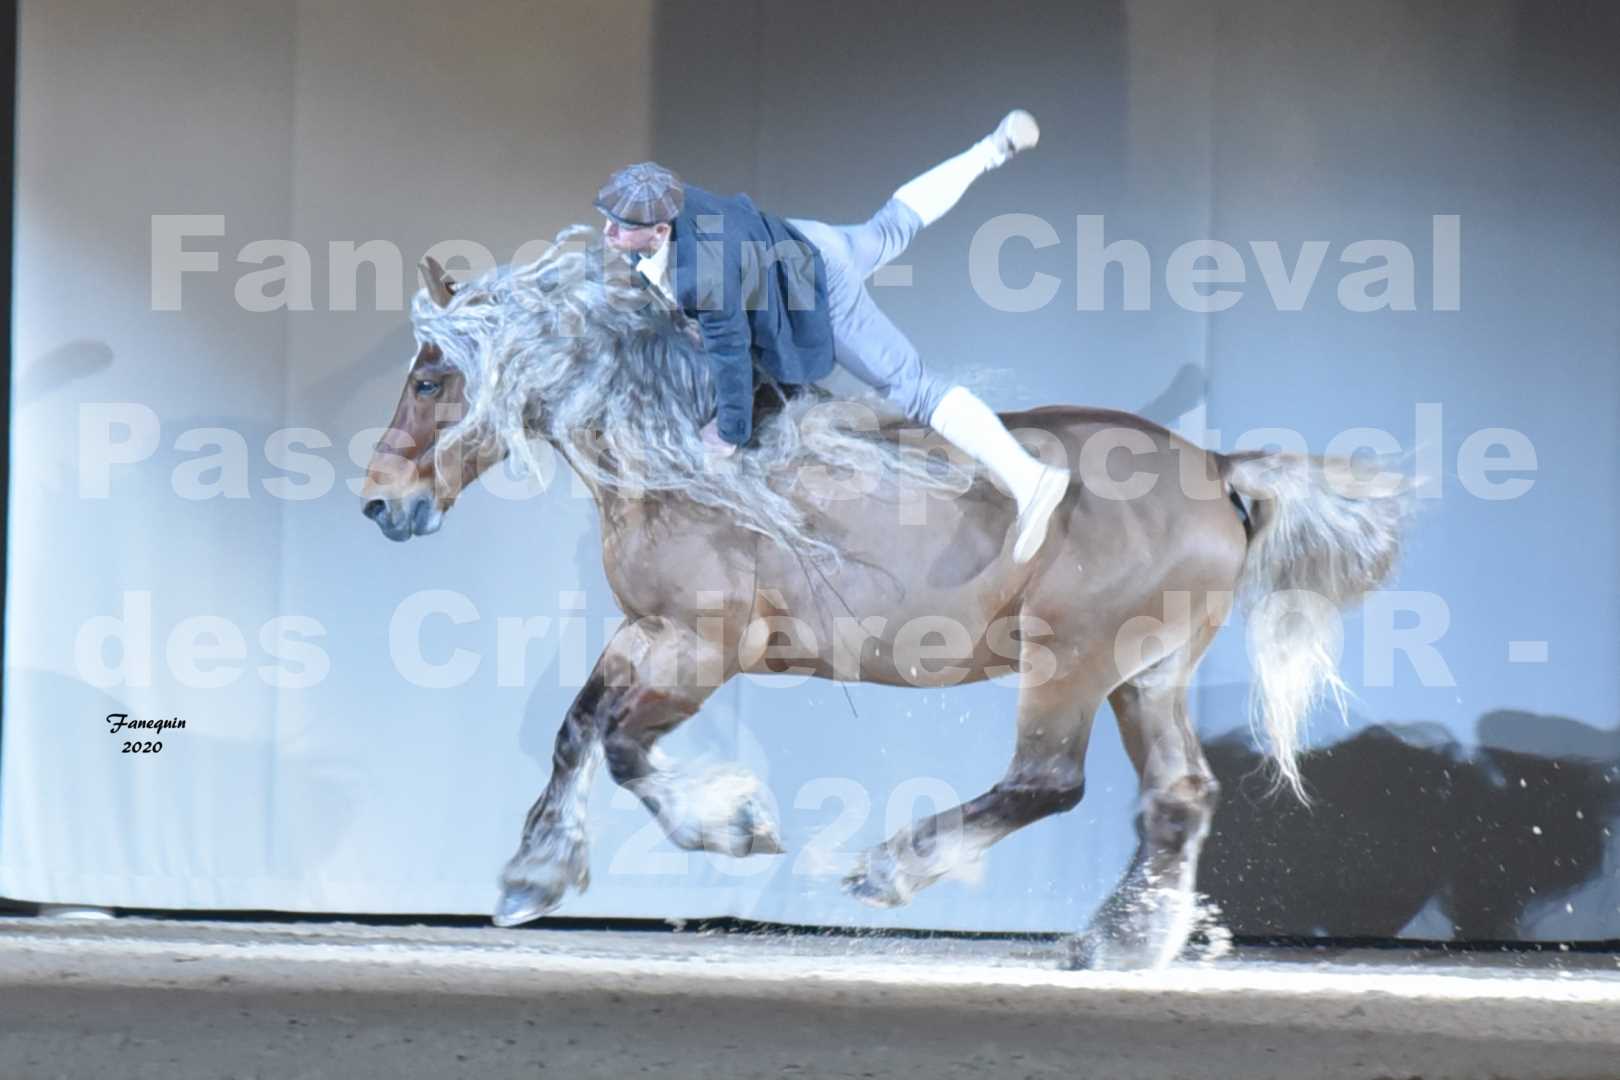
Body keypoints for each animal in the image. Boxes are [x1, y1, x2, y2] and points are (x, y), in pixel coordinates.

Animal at [361, 229, 1412, 971]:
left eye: (432, 378)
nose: (381, 504)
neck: (675, 462)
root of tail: (1219, 470)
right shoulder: (643, 634)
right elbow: (578, 729)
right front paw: (531, 877)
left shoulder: (702, 649)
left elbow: (622, 746)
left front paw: (735, 828)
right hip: (1144, 676)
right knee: (1178, 797)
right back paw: (1118, 943)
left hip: (1070, 662)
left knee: (1050, 781)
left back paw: (892, 867)